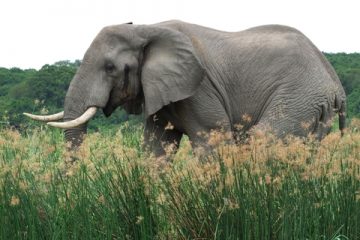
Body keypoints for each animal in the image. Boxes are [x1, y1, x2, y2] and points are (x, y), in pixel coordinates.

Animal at [24, 19, 346, 157]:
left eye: (110, 68)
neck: (147, 28)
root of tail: (335, 82)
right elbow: (156, 146)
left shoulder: (199, 89)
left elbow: (211, 141)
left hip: (298, 95)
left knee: (264, 139)